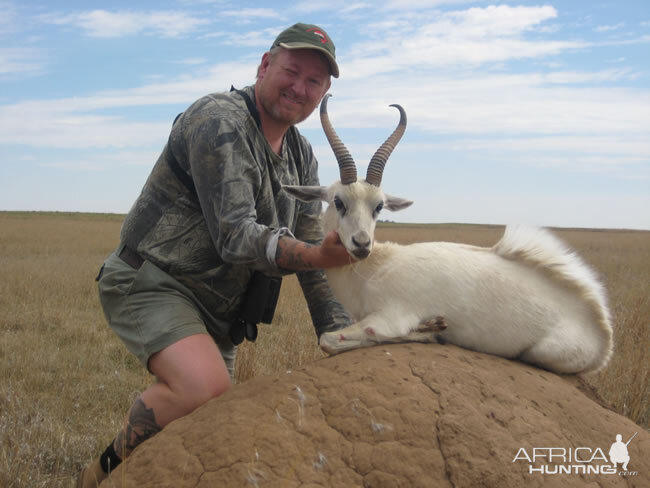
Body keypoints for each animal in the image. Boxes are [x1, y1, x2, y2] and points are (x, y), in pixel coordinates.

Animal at [280, 97, 612, 376]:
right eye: (338, 201)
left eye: (379, 206)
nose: (362, 245)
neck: (374, 268)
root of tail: (602, 334)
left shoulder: (388, 319)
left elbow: (332, 339)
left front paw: (431, 330)